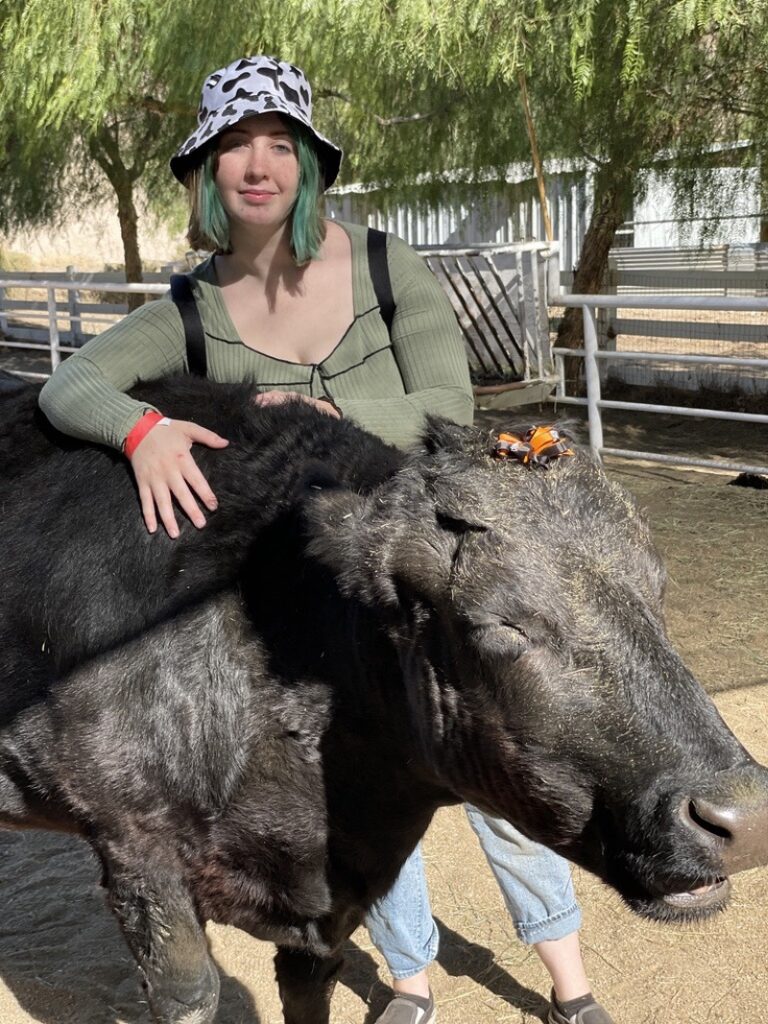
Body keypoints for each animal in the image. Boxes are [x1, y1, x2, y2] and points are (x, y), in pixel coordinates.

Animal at [1, 378, 768, 1024]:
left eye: (657, 587)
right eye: (502, 624)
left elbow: (309, 988)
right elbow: (191, 996)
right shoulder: (135, 851)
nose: (744, 814)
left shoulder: (333, 902)